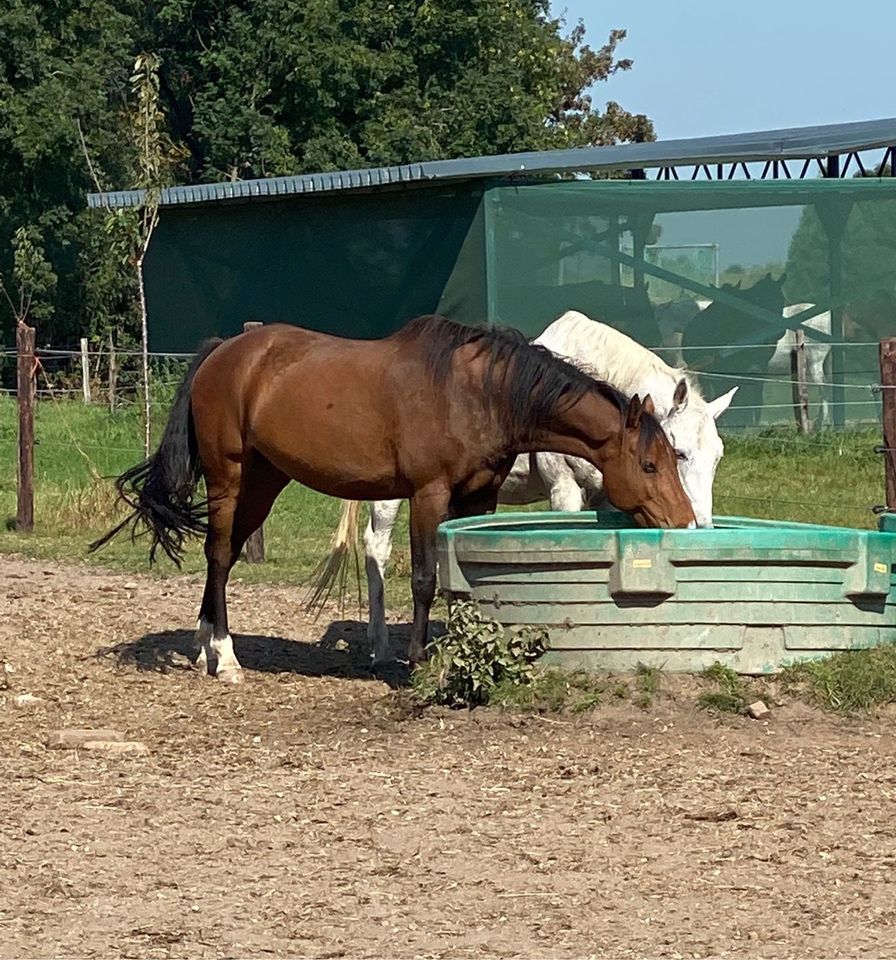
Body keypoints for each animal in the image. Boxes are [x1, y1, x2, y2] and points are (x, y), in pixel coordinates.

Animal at [91, 316, 692, 684]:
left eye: (675, 456)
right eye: (650, 463)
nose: (685, 521)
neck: (481, 393)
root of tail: (224, 353)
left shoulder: (479, 500)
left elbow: (460, 583)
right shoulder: (429, 494)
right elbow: (425, 579)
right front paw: (418, 660)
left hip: (264, 483)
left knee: (228, 556)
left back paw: (205, 646)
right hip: (229, 479)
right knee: (217, 556)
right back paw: (228, 657)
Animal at [362, 312, 736, 664]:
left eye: (717, 456)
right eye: (679, 452)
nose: (700, 526)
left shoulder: (611, 499)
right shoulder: (564, 490)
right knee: (375, 548)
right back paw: (380, 648)